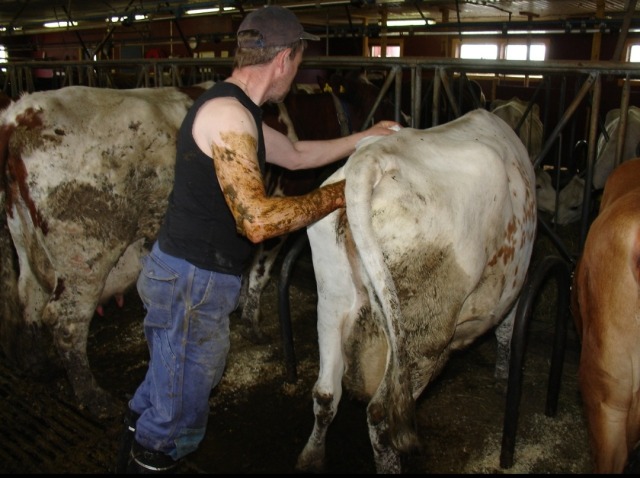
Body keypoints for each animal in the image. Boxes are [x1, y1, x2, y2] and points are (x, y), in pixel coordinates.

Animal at [0, 83, 211, 418]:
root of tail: (20, 114)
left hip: (24, 240)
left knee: (29, 300)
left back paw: (39, 366)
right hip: (86, 256)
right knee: (65, 321)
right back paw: (95, 399)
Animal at [298, 109, 536, 474]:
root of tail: (374, 157)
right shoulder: (513, 284)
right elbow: (508, 332)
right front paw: (502, 375)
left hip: (331, 300)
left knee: (325, 394)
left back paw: (310, 458)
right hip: (423, 333)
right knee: (381, 413)